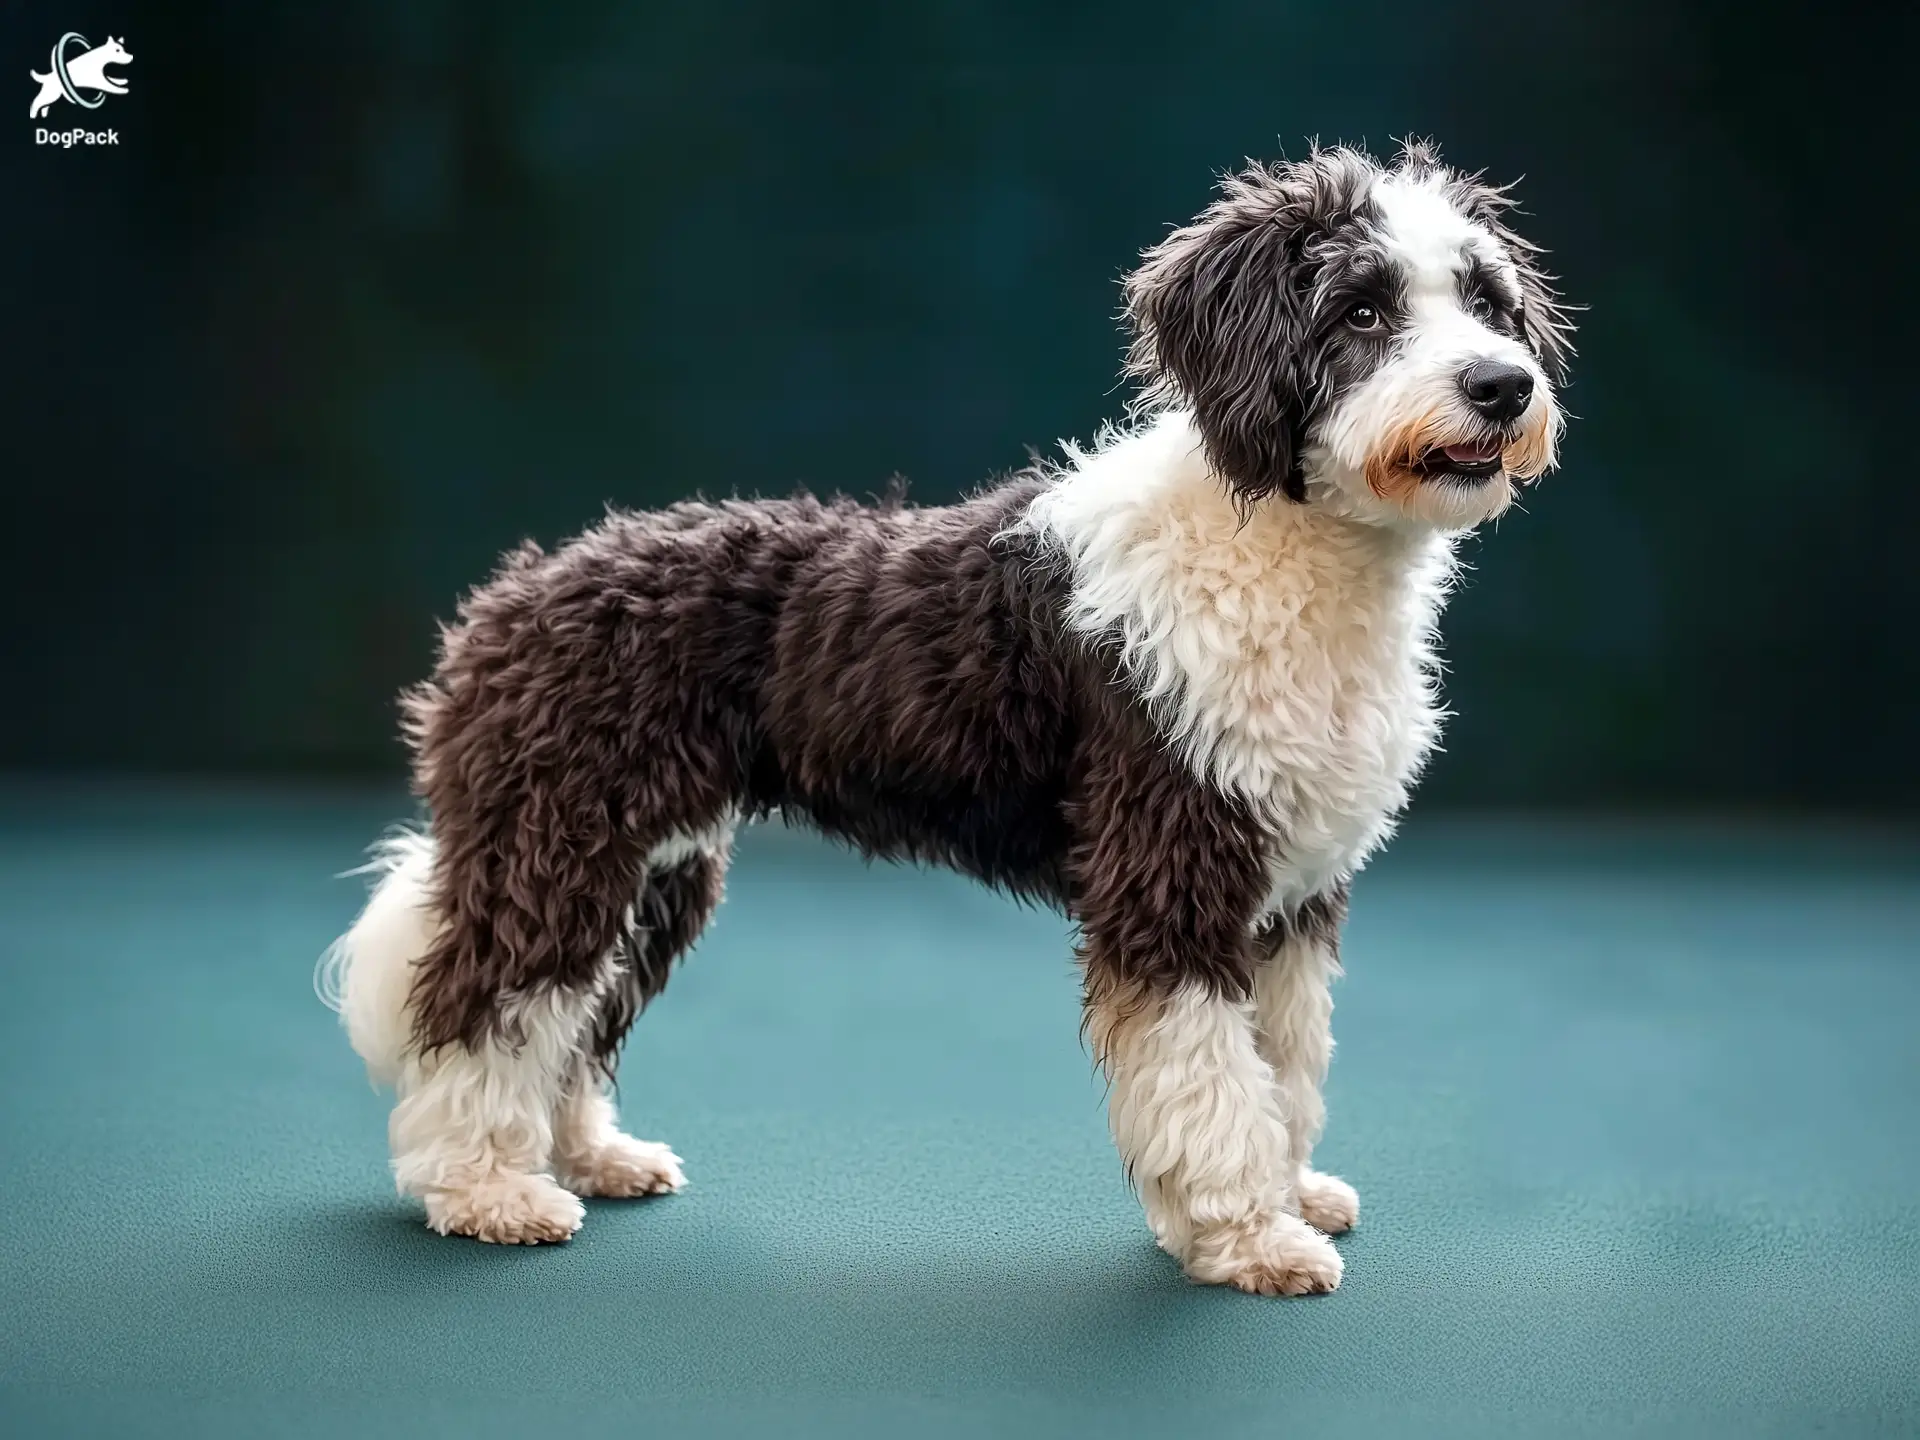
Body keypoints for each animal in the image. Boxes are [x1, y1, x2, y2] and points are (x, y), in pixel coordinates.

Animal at [318, 141, 1574, 1305]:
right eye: (1361, 308)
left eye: (1487, 300)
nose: (1504, 386)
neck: (1282, 540)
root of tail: (512, 597)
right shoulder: (1172, 871)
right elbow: (1214, 1080)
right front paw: (1250, 1238)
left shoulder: (1294, 891)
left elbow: (1288, 1065)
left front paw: (1289, 1191)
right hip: (560, 846)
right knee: (485, 1006)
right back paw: (485, 1189)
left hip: (654, 871)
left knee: (573, 1019)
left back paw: (589, 1157)